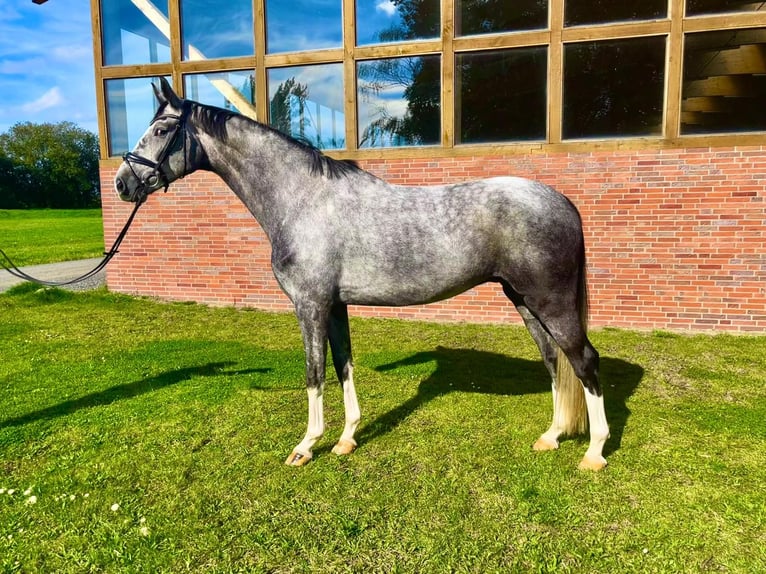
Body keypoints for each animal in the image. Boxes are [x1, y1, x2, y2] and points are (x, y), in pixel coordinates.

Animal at [114, 77, 608, 472]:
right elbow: (343, 366)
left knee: (584, 360)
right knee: (554, 361)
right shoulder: (335, 306)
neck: (302, 199)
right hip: (524, 301)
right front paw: (347, 438)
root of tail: (563, 201)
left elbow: (314, 372)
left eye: (161, 130)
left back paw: (594, 453)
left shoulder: (310, 305)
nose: (122, 183)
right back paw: (552, 437)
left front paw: (306, 446)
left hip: (550, 302)